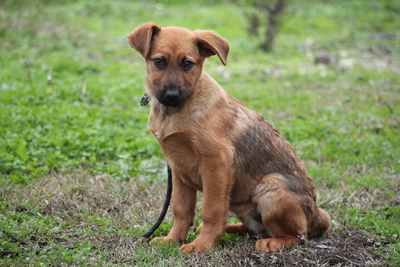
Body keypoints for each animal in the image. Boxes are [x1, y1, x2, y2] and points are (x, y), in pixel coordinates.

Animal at [128, 22, 332, 254]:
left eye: (188, 64)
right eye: (159, 62)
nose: (172, 96)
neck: (175, 112)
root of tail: (316, 214)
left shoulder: (217, 161)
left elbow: (211, 210)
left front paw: (202, 245)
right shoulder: (178, 168)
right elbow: (181, 209)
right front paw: (172, 239)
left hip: (272, 186)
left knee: (297, 235)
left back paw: (271, 242)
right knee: (254, 229)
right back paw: (230, 229)